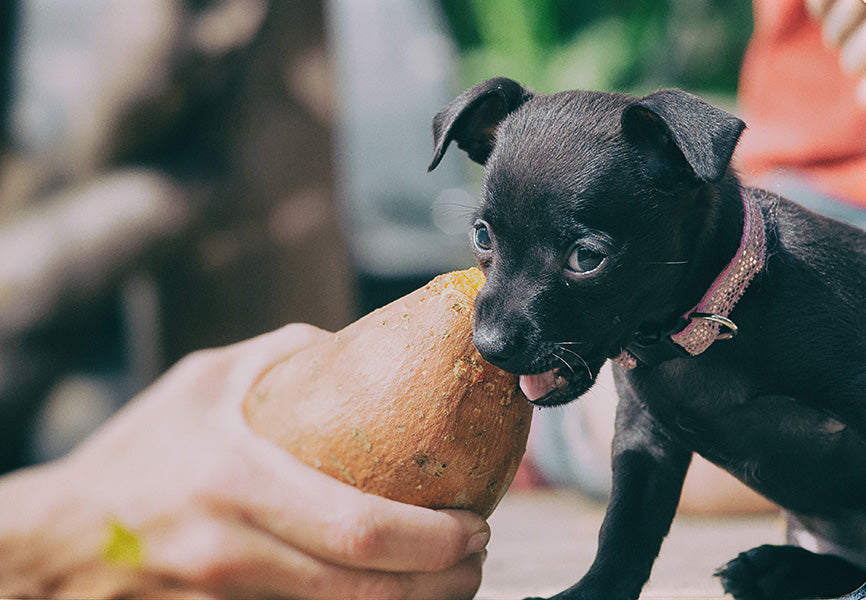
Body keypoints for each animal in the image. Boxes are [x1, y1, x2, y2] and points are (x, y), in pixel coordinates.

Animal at [426, 76, 864, 600]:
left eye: (585, 258)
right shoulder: (643, 438)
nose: (490, 346)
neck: (704, 327)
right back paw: (775, 568)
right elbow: (626, 528)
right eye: (482, 237)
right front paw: (591, 591)